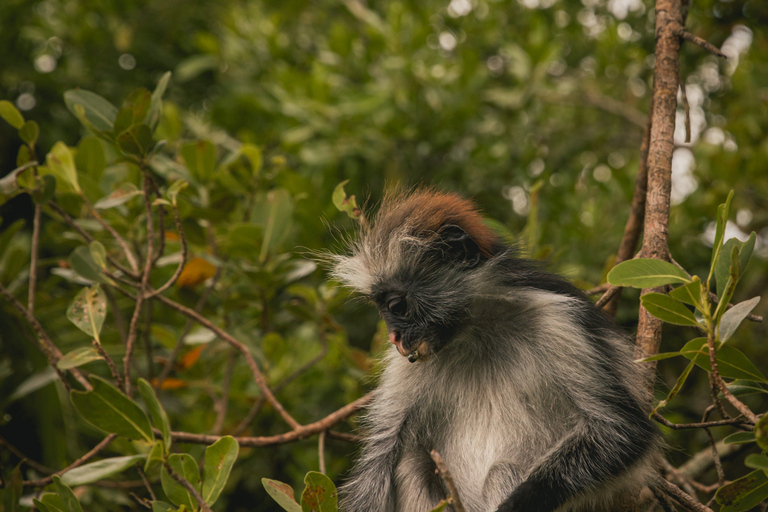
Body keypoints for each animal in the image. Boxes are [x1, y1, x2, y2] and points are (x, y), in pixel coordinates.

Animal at [329, 189, 660, 512]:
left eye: (396, 306)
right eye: (382, 309)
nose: (394, 338)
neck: (476, 331)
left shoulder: (560, 319)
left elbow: (621, 429)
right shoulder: (409, 362)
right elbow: (381, 457)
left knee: (500, 471)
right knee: (411, 462)